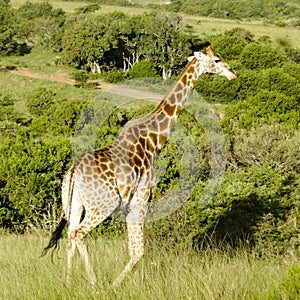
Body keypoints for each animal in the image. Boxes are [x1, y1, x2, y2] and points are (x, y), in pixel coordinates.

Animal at [41, 41, 237, 286]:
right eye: (217, 60)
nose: (233, 73)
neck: (154, 140)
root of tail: (73, 172)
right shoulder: (141, 198)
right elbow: (138, 250)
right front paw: (116, 285)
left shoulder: (130, 203)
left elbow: (133, 247)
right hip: (103, 205)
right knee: (79, 234)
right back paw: (95, 283)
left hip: (75, 203)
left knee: (69, 236)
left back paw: (68, 282)